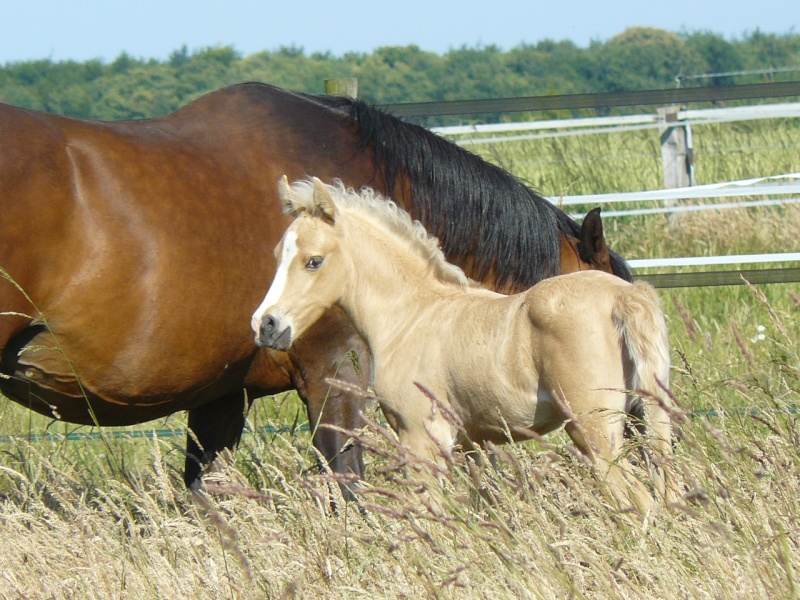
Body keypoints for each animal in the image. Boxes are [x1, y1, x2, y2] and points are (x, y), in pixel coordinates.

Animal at [253, 178, 680, 510]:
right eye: (275, 255)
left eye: (313, 261)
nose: (265, 325)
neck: (411, 315)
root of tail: (624, 296)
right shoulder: (470, 442)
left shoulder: (420, 439)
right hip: (647, 417)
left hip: (594, 431)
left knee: (641, 501)